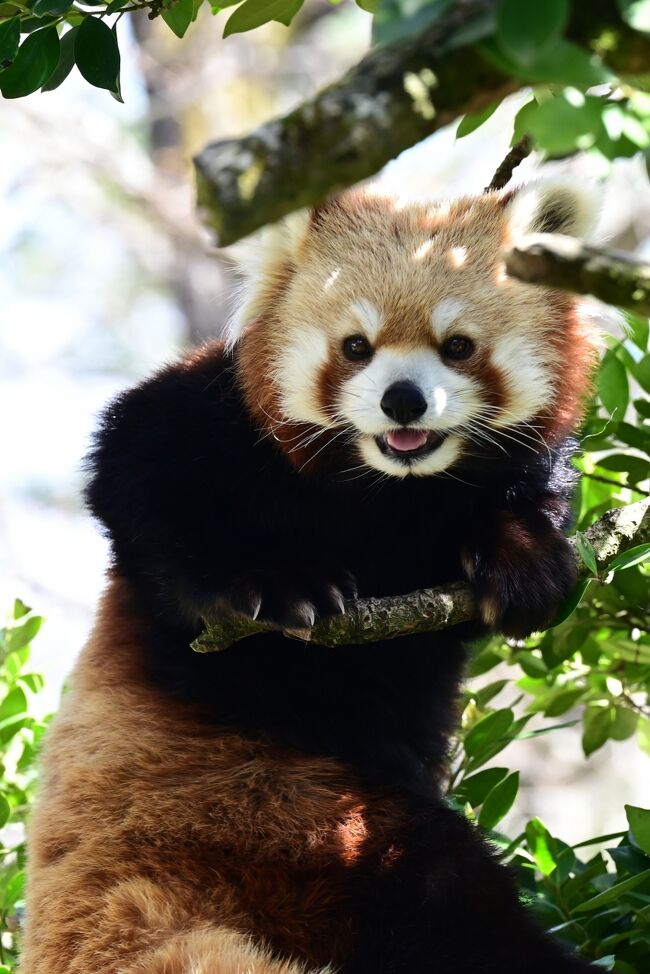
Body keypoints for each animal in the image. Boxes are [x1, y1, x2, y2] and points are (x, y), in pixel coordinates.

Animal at [20, 179, 596, 972]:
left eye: (458, 346)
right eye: (356, 347)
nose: (403, 399)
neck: (391, 491)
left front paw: (524, 557)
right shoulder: (213, 421)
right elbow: (133, 473)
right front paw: (273, 583)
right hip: (273, 809)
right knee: (438, 889)